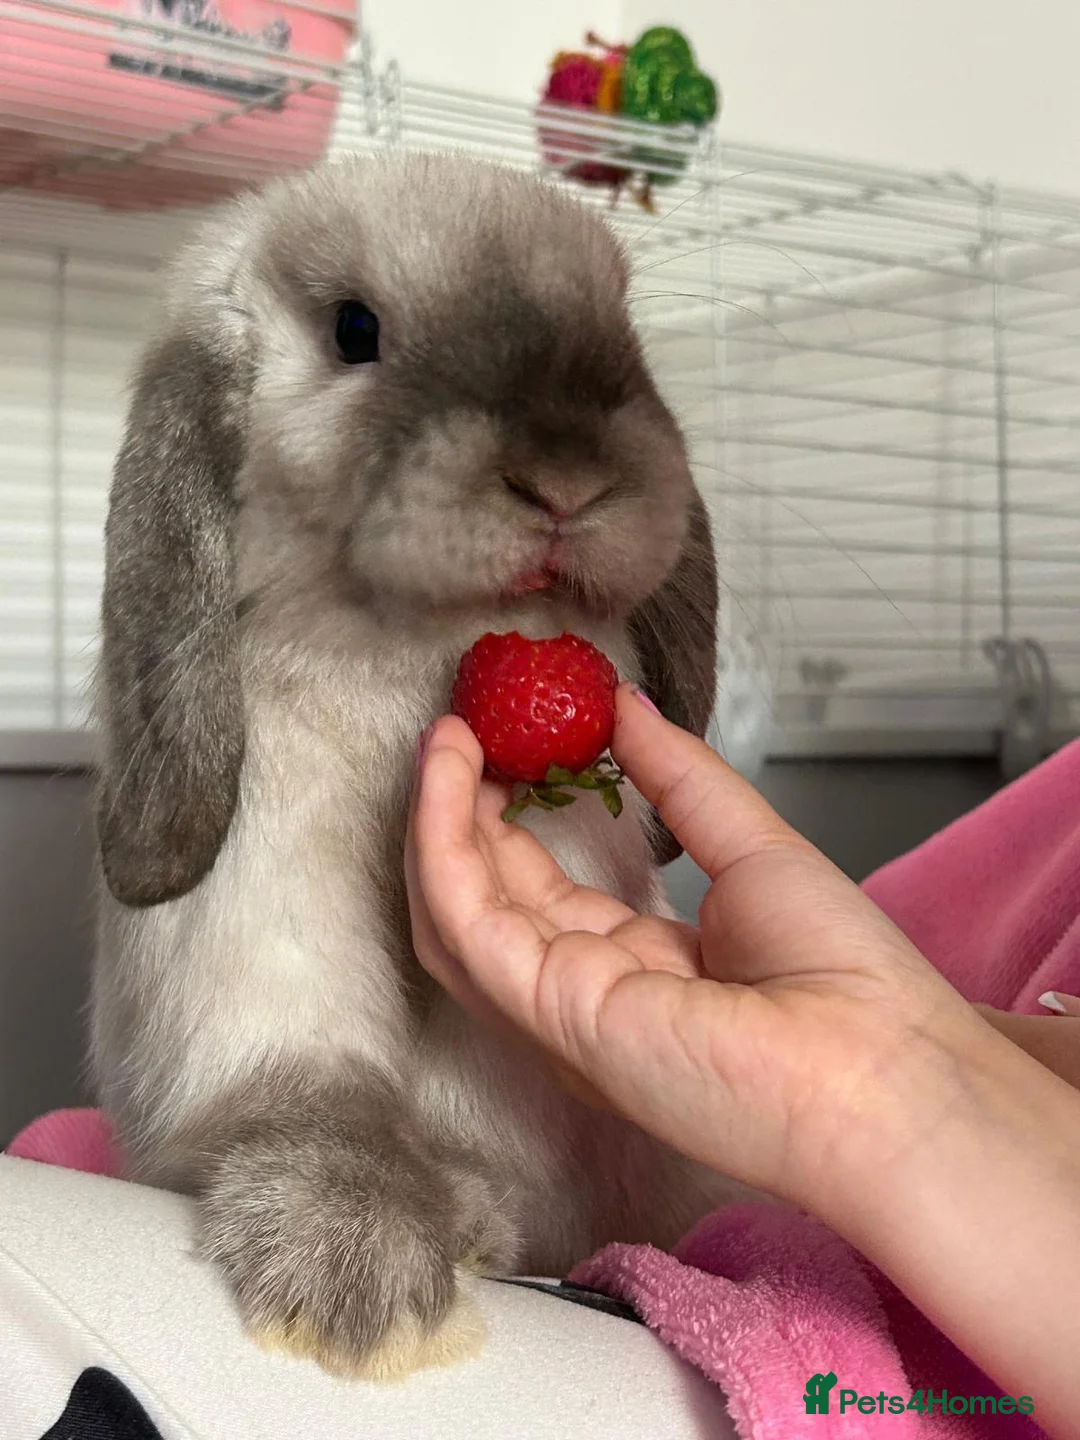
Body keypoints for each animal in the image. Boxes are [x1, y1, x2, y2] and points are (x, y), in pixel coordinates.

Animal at [90, 152, 737, 1381]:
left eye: (620, 327)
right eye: (355, 330)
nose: (566, 481)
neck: (408, 652)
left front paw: (455, 1234)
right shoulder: (264, 945)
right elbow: (313, 1097)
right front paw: (360, 1276)